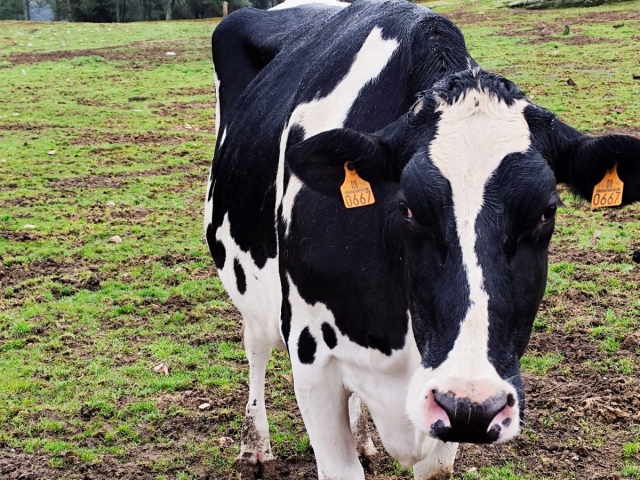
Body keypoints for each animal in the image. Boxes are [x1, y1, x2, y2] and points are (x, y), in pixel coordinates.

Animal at [204, 0, 640, 478]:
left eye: (547, 211)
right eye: (407, 208)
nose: (472, 404)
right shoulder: (312, 360)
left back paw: (363, 438)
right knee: (255, 346)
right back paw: (254, 446)